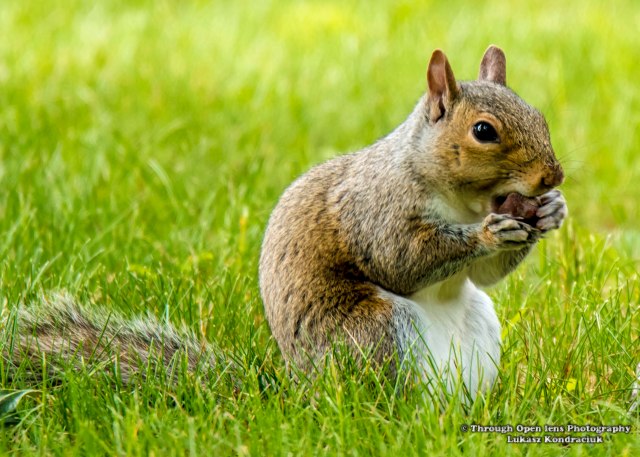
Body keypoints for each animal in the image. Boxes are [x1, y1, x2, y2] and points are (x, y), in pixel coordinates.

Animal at [2, 46, 566, 400]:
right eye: (483, 131)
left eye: (540, 114)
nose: (553, 176)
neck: (464, 200)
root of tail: (303, 394)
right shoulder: (374, 208)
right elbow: (400, 259)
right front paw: (488, 233)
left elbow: (485, 275)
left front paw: (552, 210)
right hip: (373, 332)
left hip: (477, 325)